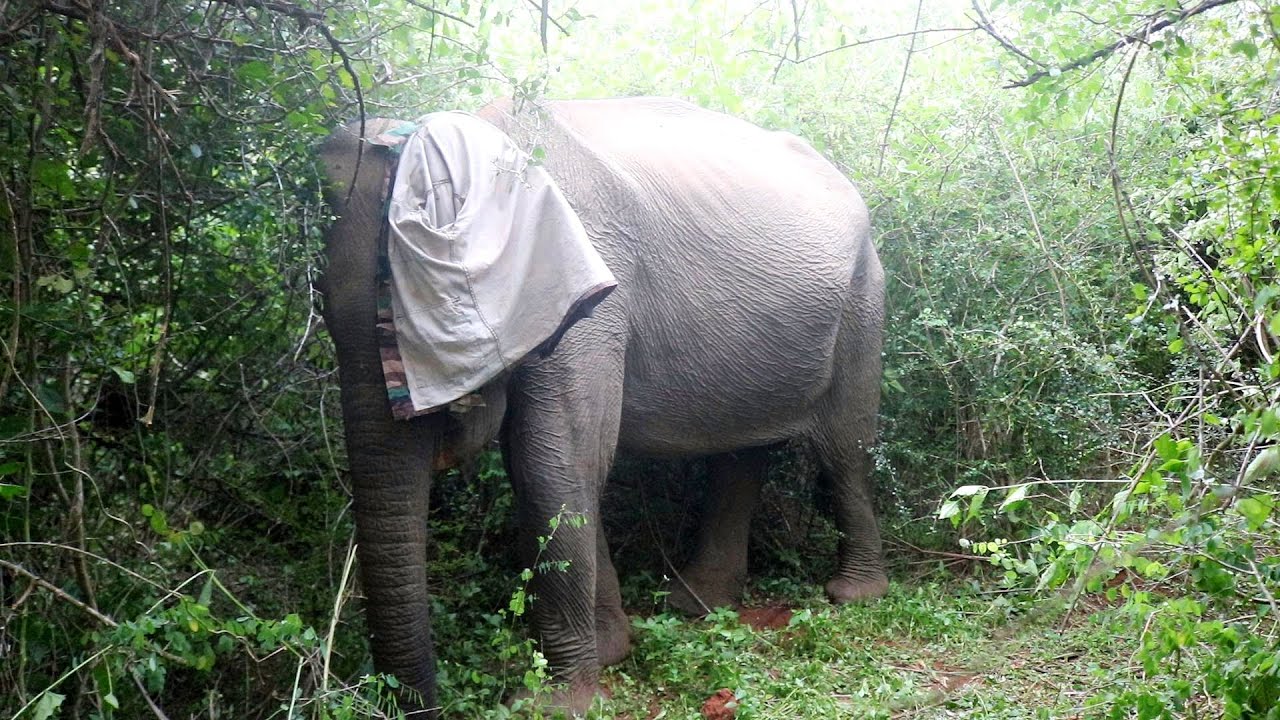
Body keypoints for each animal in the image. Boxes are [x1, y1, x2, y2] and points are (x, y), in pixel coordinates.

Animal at [316, 96, 886, 715]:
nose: (417, 702)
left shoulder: (590, 284)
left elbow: (552, 464)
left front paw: (554, 702)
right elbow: (553, 465)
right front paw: (611, 651)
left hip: (865, 298)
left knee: (845, 448)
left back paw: (853, 594)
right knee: (743, 451)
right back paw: (697, 603)